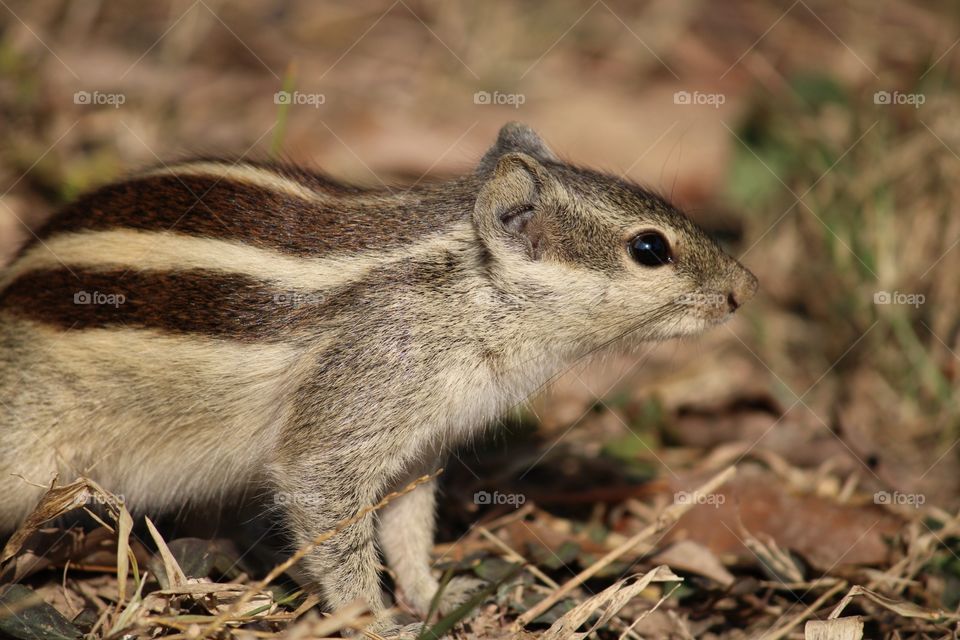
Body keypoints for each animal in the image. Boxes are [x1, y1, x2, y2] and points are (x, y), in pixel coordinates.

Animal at [0, 122, 756, 636]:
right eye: (649, 248)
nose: (745, 289)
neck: (470, 289)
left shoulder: (419, 450)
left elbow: (406, 529)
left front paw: (437, 595)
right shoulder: (350, 414)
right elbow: (326, 509)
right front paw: (371, 616)